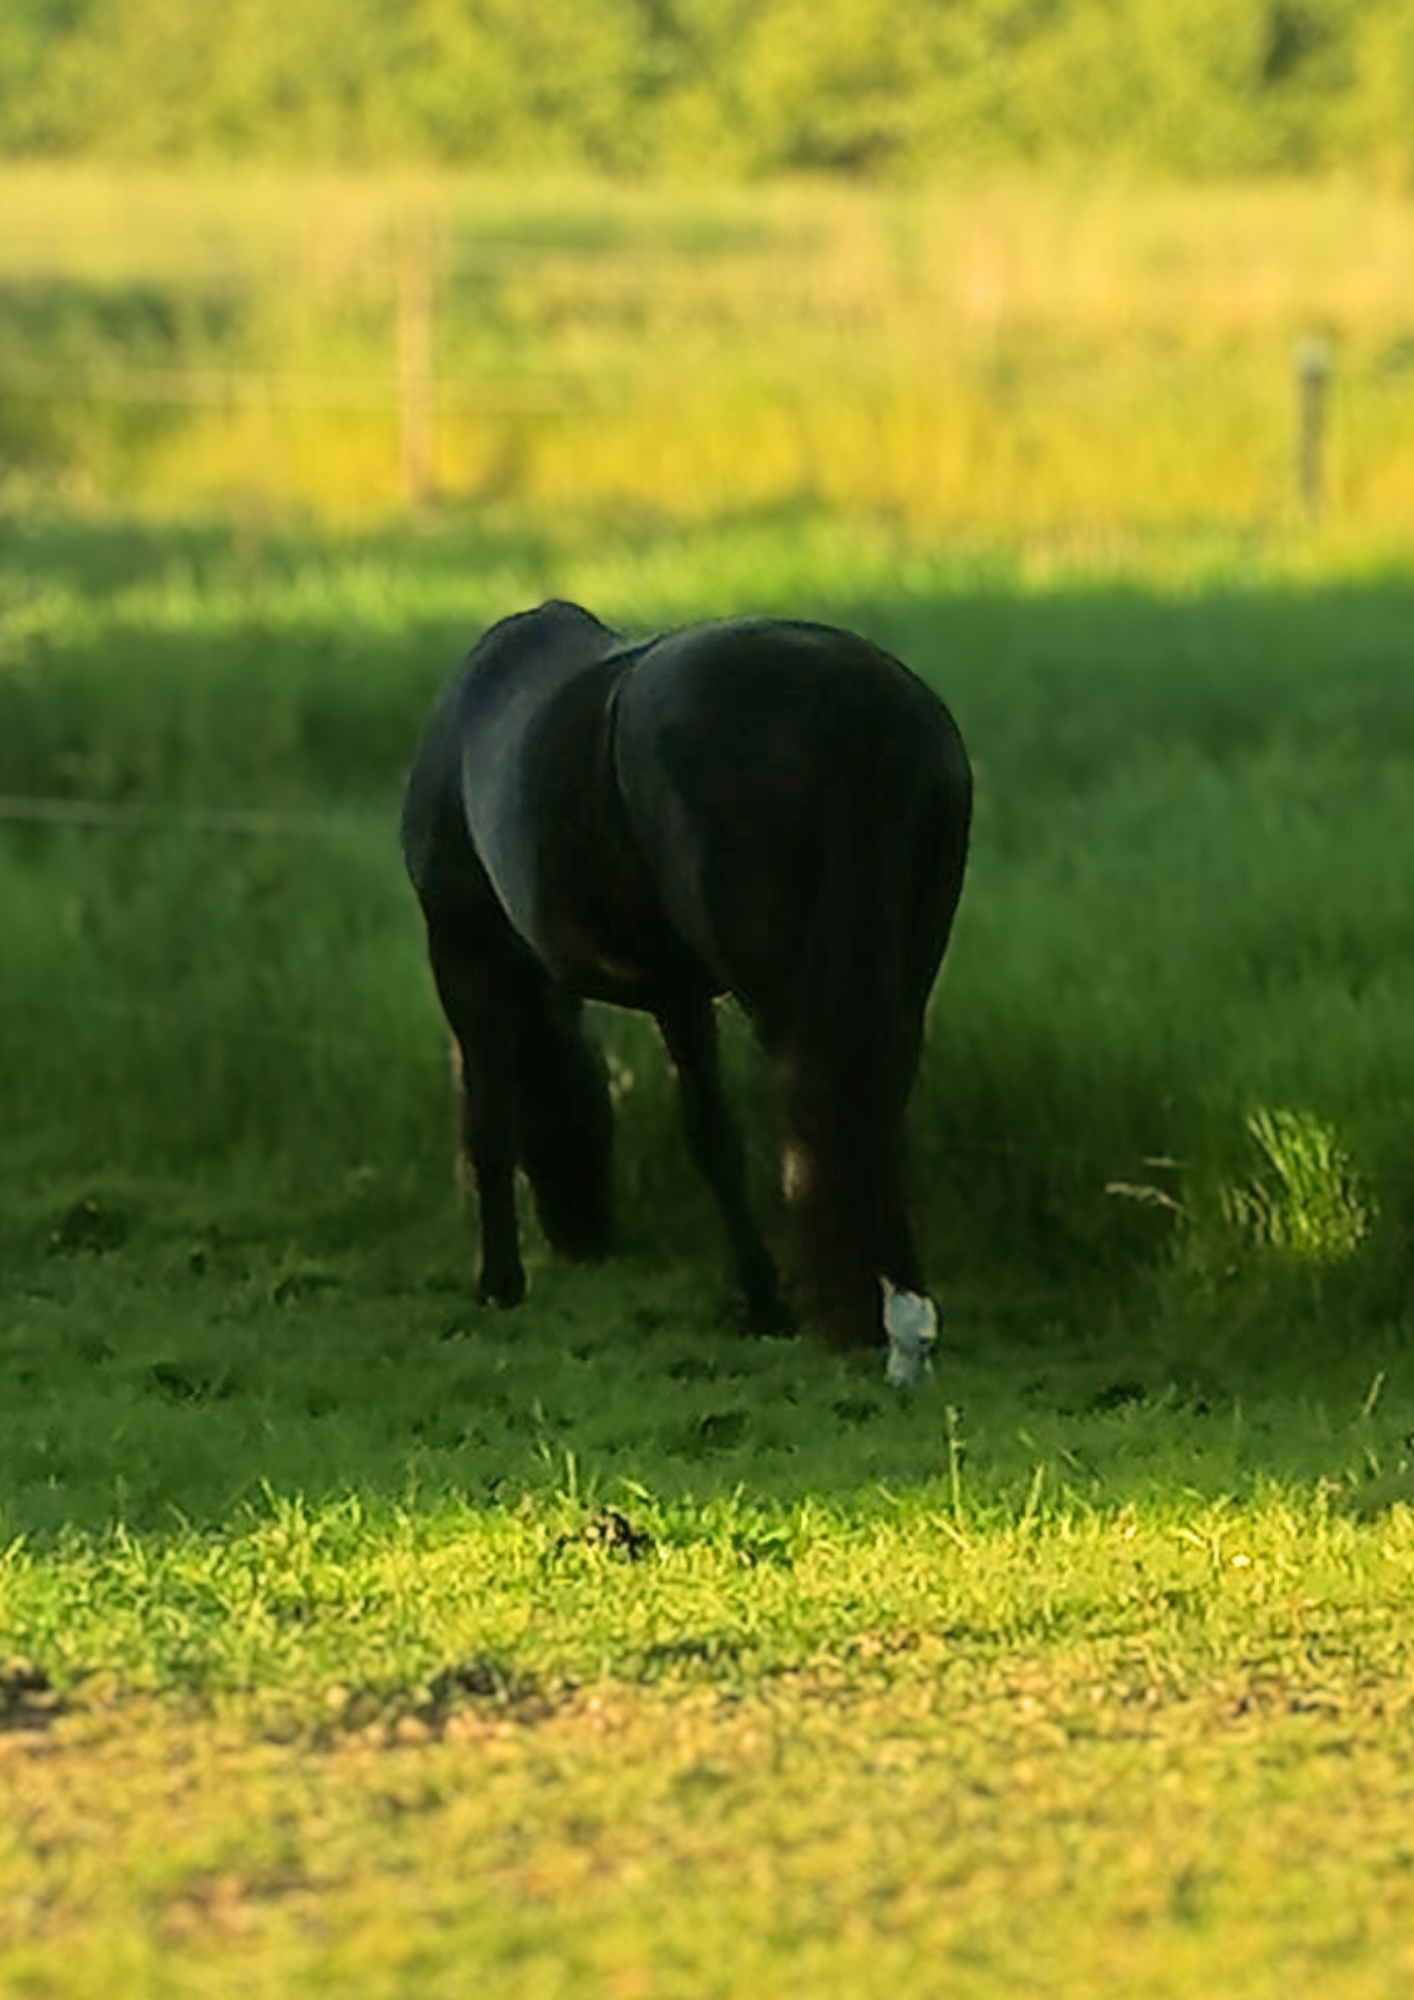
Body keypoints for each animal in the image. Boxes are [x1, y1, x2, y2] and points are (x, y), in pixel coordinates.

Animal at [402, 600, 972, 1368]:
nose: (585, 1236)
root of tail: (854, 707)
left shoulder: (465, 952)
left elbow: (491, 1119)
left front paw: (498, 1286)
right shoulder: (678, 990)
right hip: (902, 979)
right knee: (871, 1111)